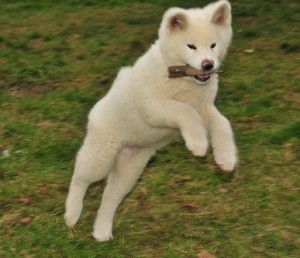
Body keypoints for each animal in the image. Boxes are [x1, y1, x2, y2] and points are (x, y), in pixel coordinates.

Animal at [65, 0, 237, 242]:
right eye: (191, 46)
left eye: (213, 45)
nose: (208, 65)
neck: (183, 81)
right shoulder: (153, 106)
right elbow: (185, 111)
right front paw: (198, 143)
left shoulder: (205, 107)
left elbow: (223, 124)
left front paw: (227, 157)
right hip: (100, 156)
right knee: (80, 177)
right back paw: (72, 213)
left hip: (130, 169)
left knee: (110, 197)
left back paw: (101, 231)